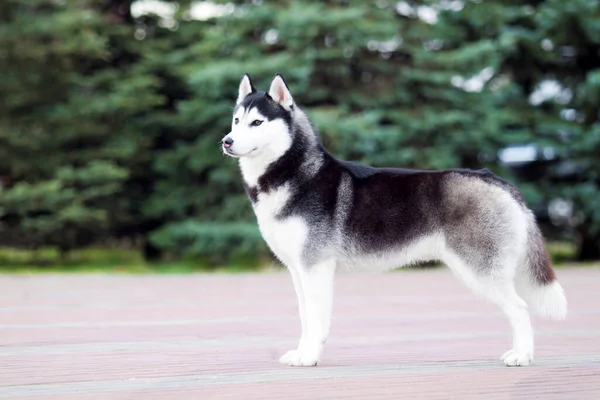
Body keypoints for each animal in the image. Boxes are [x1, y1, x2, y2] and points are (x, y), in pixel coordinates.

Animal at [221, 73, 568, 368]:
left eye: (257, 122)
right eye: (236, 121)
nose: (226, 141)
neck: (292, 173)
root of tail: (498, 180)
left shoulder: (316, 267)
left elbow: (317, 320)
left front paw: (309, 357)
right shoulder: (299, 270)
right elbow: (306, 318)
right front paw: (303, 352)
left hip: (481, 271)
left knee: (520, 308)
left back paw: (522, 356)